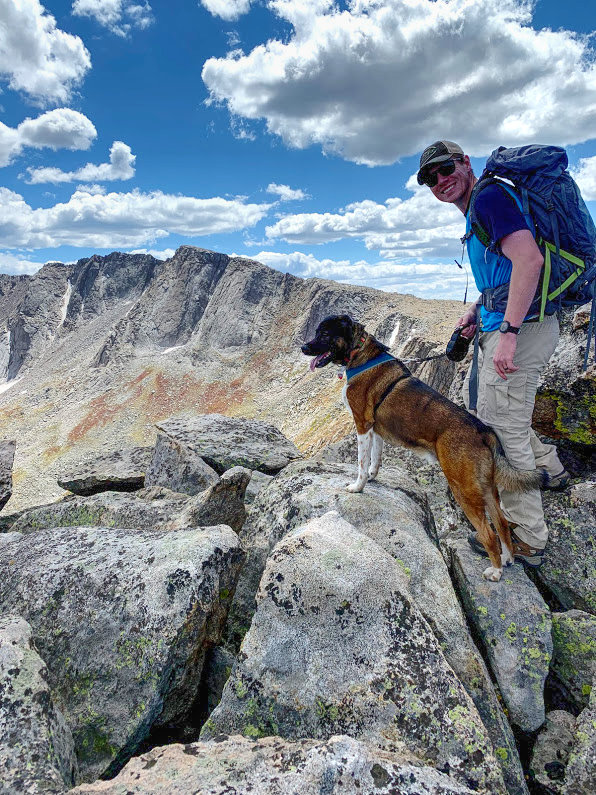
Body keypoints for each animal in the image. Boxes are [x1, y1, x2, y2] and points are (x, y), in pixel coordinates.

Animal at [300, 314, 548, 580]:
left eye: (325, 334)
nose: (303, 348)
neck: (359, 353)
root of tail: (483, 430)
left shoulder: (362, 425)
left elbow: (361, 462)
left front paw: (358, 486)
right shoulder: (374, 428)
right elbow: (375, 458)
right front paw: (372, 477)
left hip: (463, 488)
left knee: (489, 534)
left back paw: (495, 571)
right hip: (486, 487)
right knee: (501, 524)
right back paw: (508, 558)